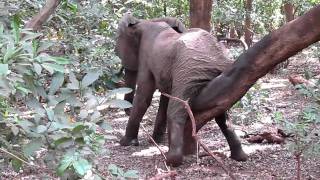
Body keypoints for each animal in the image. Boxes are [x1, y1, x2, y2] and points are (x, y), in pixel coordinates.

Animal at [115, 12, 248, 167]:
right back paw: (240, 157)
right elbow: (164, 97)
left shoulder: (146, 56)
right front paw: (155, 141)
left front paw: (125, 143)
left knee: (176, 110)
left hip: (187, 69)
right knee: (222, 114)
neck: (146, 21)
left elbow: (144, 97)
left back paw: (171, 160)